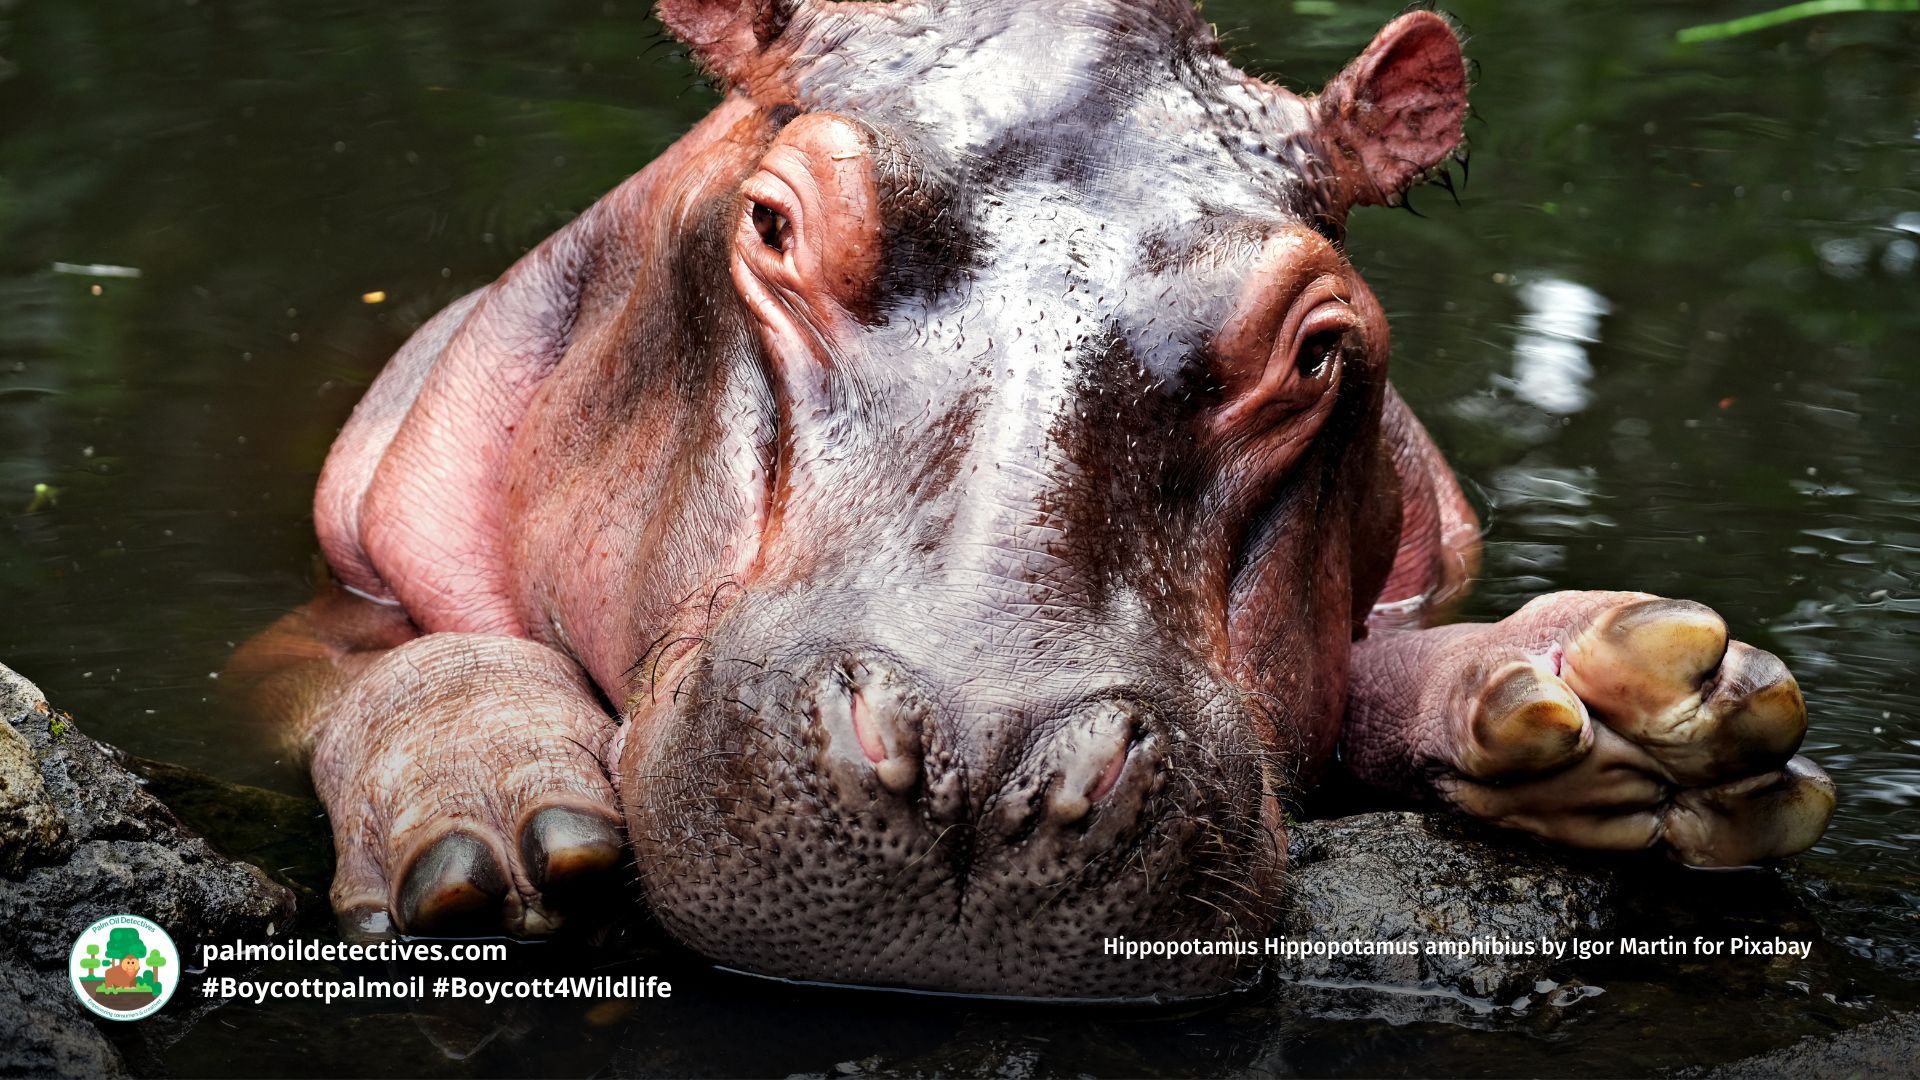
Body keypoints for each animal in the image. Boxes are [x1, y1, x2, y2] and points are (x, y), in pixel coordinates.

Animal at [234, 0, 1837, 1001]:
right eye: (773, 223)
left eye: (1322, 346)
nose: (984, 762)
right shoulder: (314, 620)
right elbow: (402, 663)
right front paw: (492, 827)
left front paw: (1640, 709)